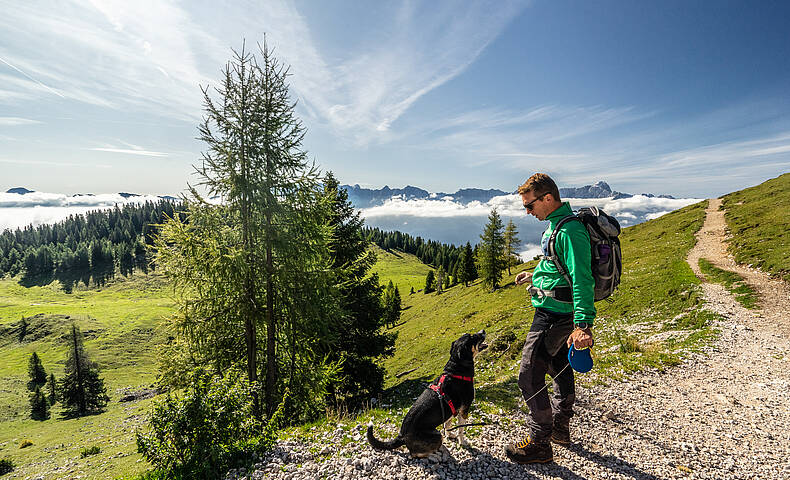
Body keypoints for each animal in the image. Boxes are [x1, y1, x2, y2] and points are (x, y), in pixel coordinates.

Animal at [366, 330, 488, 458]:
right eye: (473, 337)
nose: (483, 331)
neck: (457, 369)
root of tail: (402, 436)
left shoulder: (451, 410)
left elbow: (448, 425)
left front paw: (450, 435)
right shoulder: (464, 410)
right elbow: (461, 430)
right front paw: (462, 442)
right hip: (436, 435)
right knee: (415, 454)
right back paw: (436, 454)